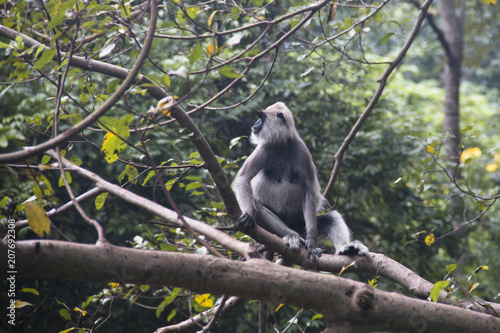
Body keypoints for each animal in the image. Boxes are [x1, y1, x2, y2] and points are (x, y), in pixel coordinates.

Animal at [232, 101, 370, 260]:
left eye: (261, 118)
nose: (255, 124)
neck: (282, 144)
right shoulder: (264, 149)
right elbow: (243, 179)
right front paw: (249, 213)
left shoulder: (302, 152)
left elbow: (310, 191)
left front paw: (311, 241)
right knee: (259, 208)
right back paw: (292, 236)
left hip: (302, 224)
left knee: (332, 218)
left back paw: (343, 248)